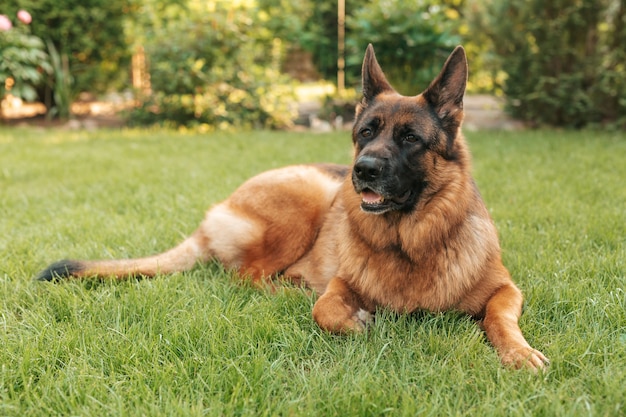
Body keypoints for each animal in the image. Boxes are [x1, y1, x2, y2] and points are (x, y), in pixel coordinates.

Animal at [37, 45, 544, 368]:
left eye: (410, 139)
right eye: (366, 132)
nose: (362, 170)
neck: (408, 243)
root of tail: (214, 213)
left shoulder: (506, 290)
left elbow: (499, 319)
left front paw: (518, 352)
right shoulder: (341, 284)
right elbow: (327, 311)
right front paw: (357, 321)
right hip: (309, 199)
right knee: (249, 278)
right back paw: (294, 290)